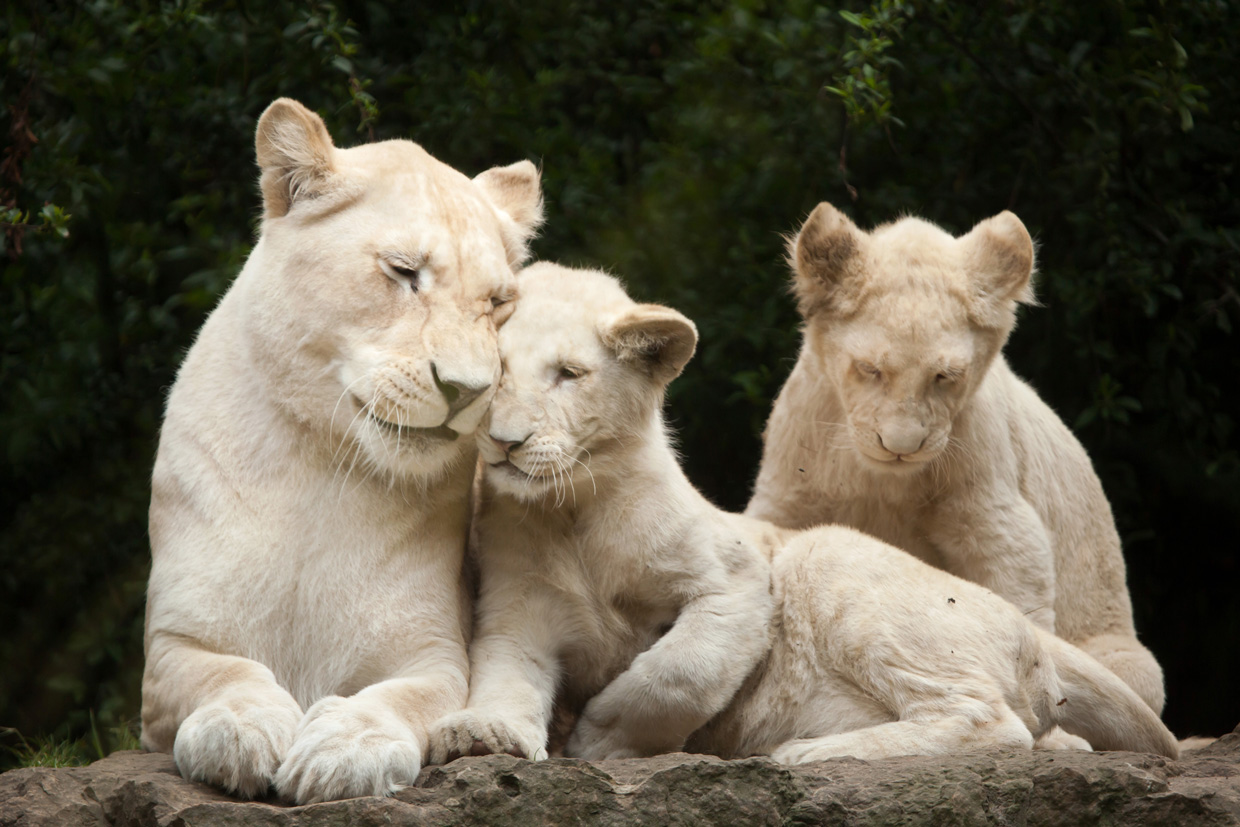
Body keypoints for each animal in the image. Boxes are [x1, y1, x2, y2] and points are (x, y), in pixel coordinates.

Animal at [140, 98, 544, 804]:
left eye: (497, 303)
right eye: (403, 272)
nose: (468, 390)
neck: (321, 464)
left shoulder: (434, 653)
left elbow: (399, 699)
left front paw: (343, 751)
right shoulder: (172, 645)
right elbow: (226, 674)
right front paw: (238, 733)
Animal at [426, 263, 1177, 766]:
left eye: (569, 375)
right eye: (498, 369)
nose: (505, 440)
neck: (573, 509)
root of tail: (1029, 630)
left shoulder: (736, 581)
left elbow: (678, 671)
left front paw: (598, 739)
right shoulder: (519, 612)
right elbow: (504, 677)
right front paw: (483, 734)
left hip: (837, 566)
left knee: (988, 721)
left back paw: (807, 756)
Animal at [745, 203, 1166, 736]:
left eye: (945, 376)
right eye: (869, 368)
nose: (900, 446)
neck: (885, 480)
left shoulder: (995, 508)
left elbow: (1013, 590)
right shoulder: (790, 489)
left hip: (1131, 658)